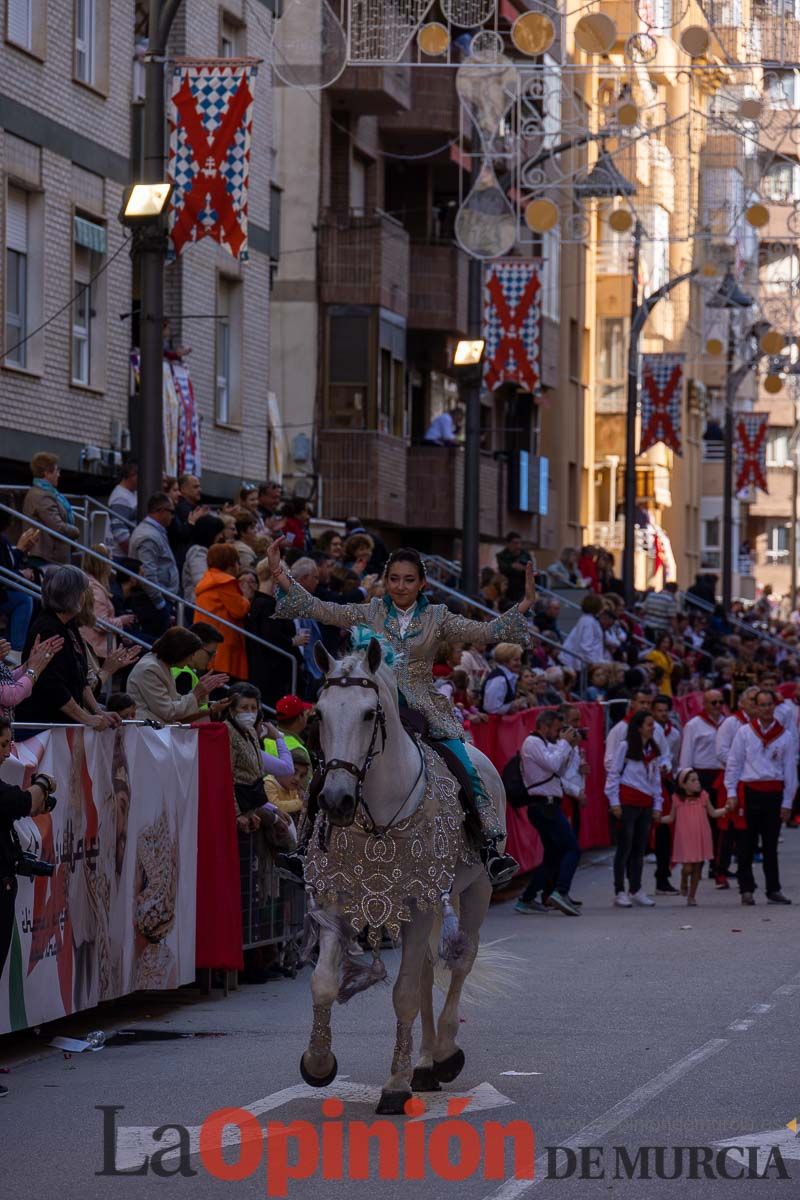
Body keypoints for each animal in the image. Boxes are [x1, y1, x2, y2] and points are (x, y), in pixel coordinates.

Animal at [297, 638, 503, 1113]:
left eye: (368, 714)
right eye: (318, 714)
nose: (335, 800)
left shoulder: (418, 902)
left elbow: (404, 993)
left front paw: (394, 1085)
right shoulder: (339, 901)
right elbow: (323, 983)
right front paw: (318, 1064)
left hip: (477, 889)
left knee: (461, 959)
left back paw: (444, 1053)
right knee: (427, 968)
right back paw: (425, 1063)